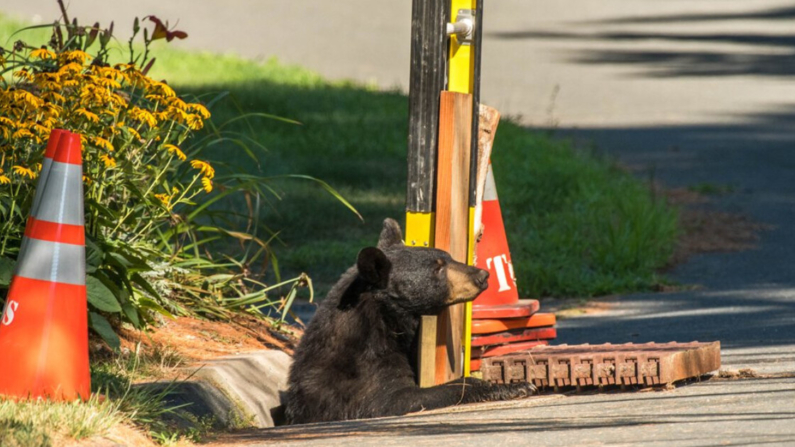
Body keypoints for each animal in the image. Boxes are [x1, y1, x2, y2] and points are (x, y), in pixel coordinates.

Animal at [282, 219, 536, 426]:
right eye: (438, 267)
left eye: (450, 258)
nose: (482, 275)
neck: (385, 320)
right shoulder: (362, 373)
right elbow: (395, 399)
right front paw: (515, 386)